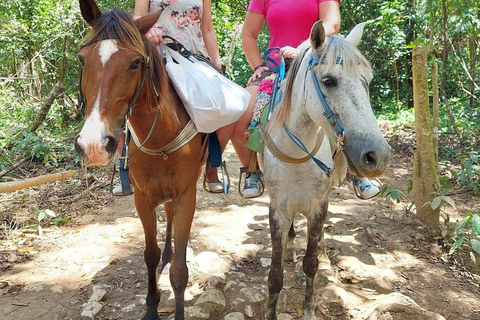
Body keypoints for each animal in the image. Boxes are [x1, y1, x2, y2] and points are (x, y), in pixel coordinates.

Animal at [74, 1, 205, 318]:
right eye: (82, 61)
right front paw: (151, 307)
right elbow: (149, 254)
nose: (94, 144)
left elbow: (180, 272)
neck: (161, 137)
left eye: (135, 63)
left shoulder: (187, 195)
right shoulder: (142, 198)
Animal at [262, 21, 390, 318]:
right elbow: (275, 276)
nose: (377, 156)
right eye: (329, 80)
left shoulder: (318, 205)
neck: (297, 156)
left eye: (367, 81)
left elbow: (310, 264)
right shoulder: (278, 210)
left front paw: (309, 309)